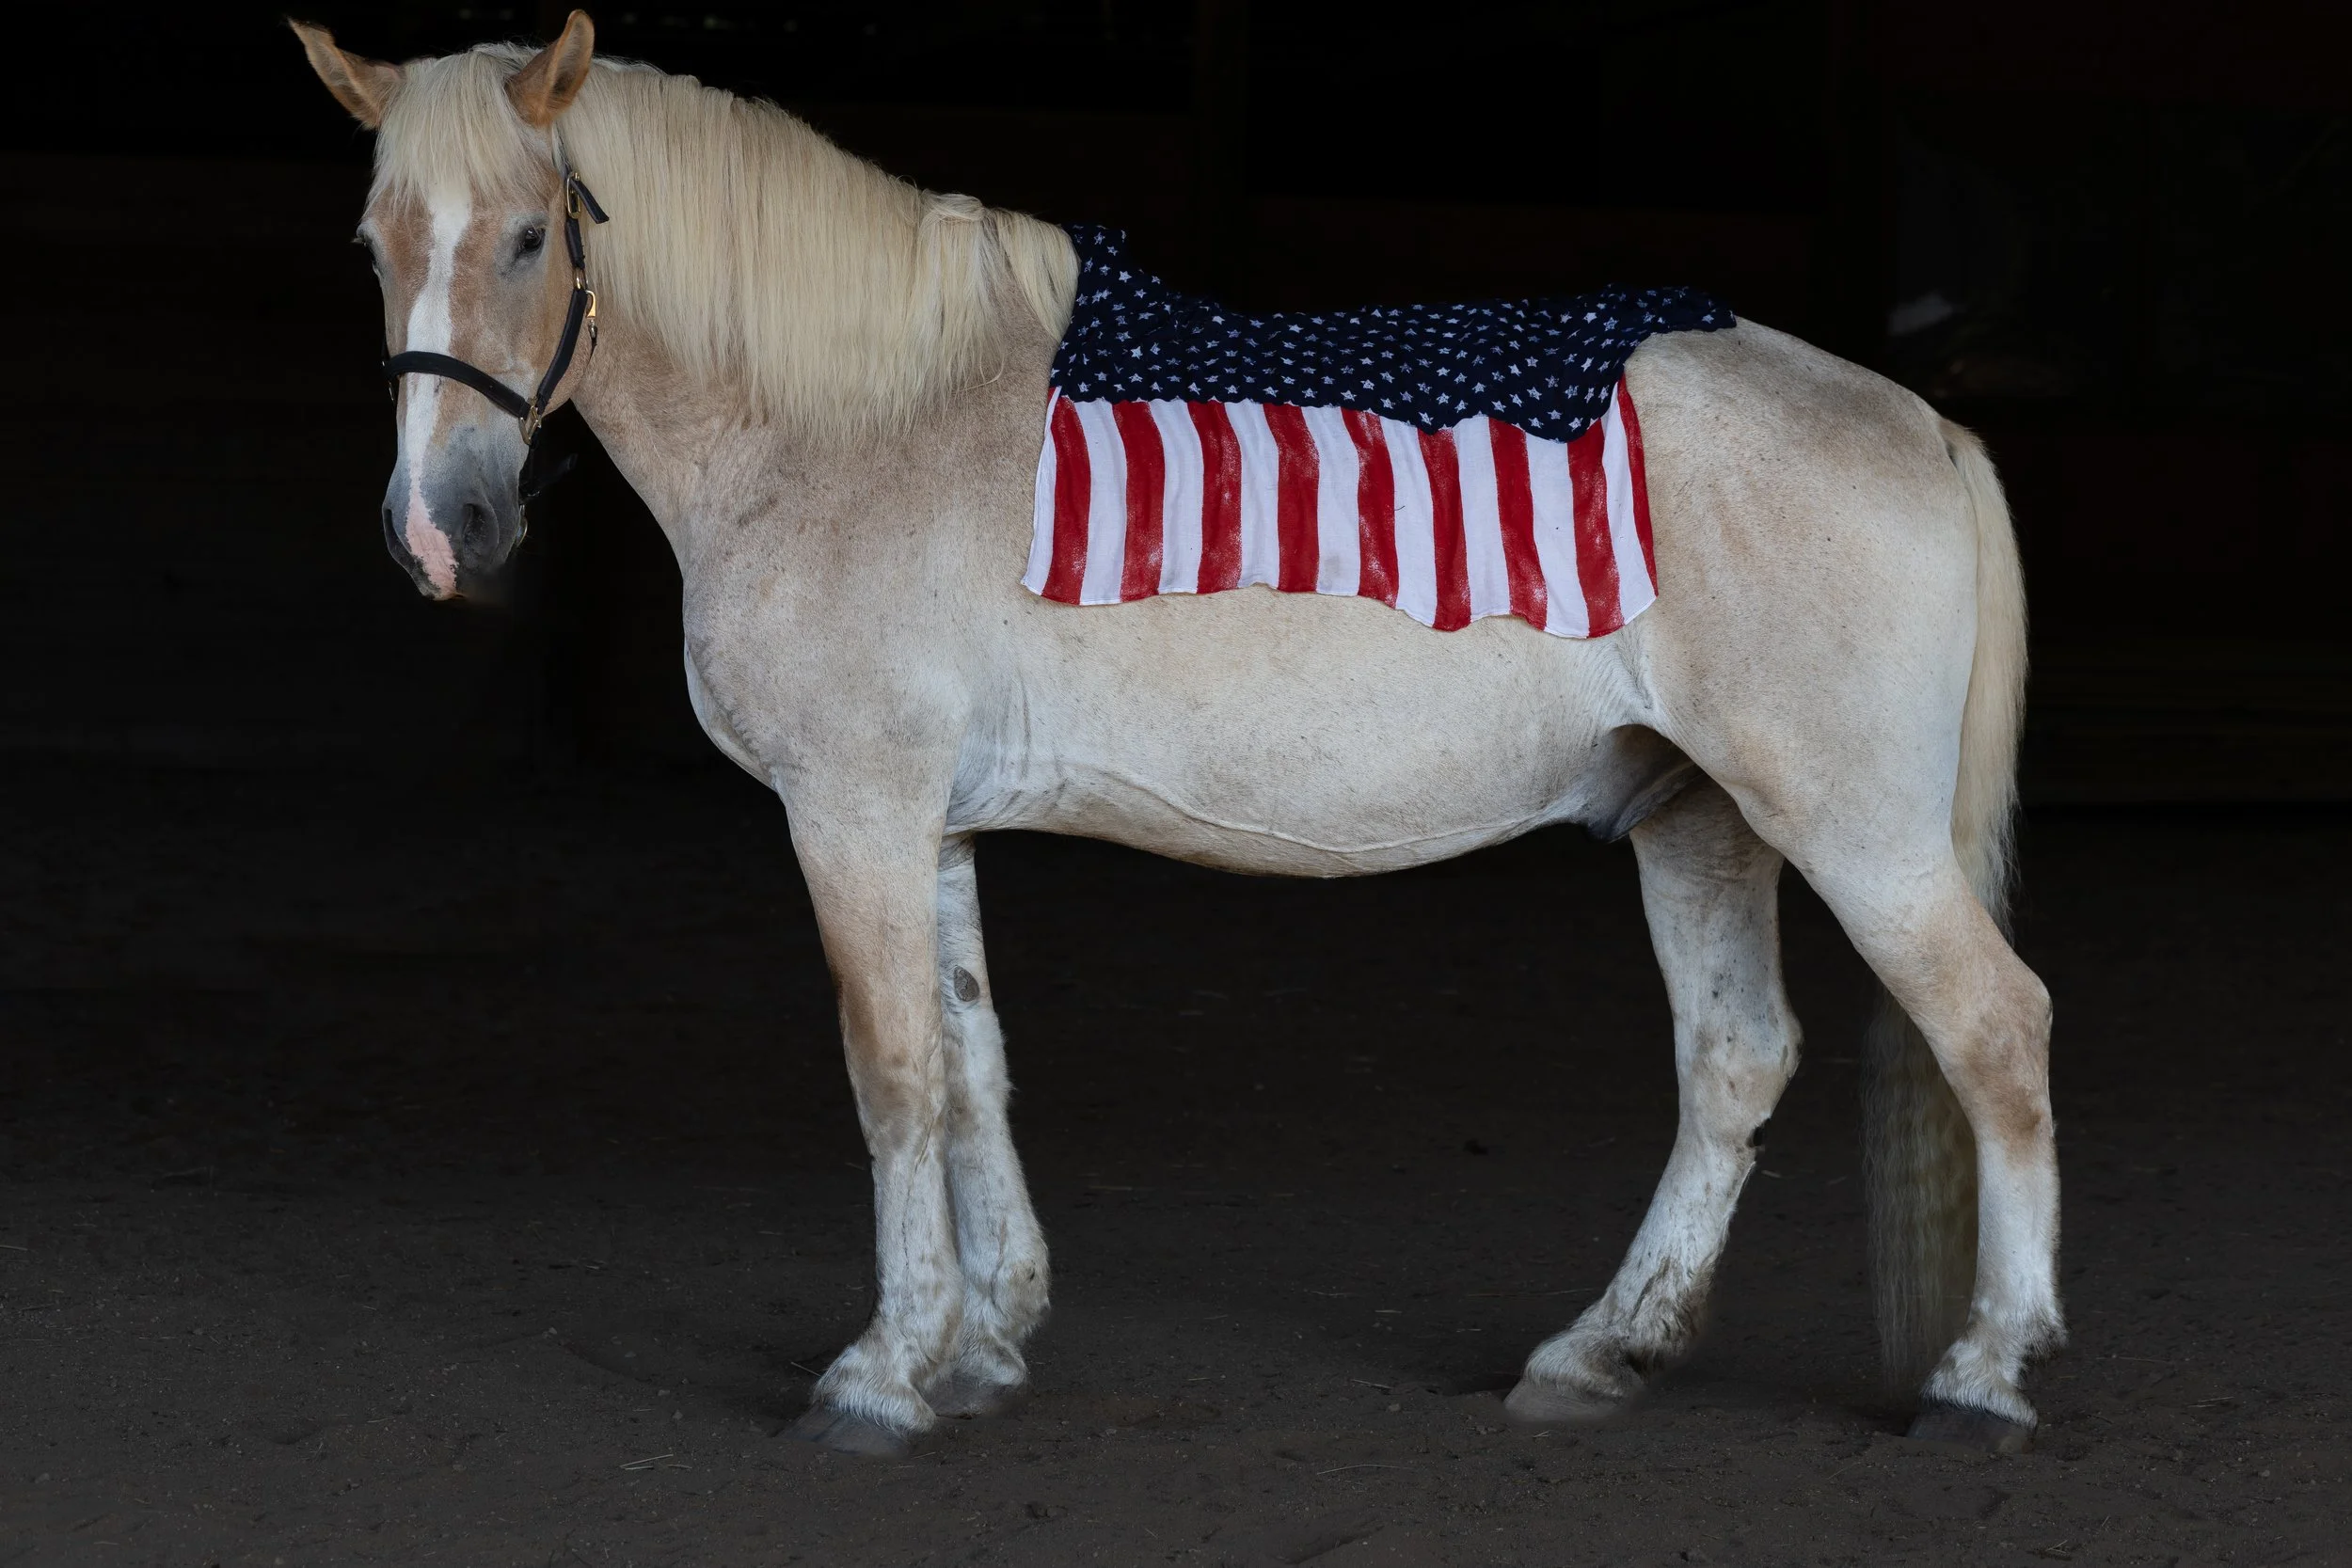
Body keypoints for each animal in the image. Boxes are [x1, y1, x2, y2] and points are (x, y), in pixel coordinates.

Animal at [291, 11, 2062, 1458]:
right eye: (375, 241)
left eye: (531, 235)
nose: (439, 530)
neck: (854, 423)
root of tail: (1918, 417)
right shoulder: (930, 820)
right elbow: (970, 1064)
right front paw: (982, 1340)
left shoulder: (854, 810)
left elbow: (891, 1072)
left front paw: (882, 1371)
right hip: (1702, 815)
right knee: (1734, 1057)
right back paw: (1600, 1352)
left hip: (1855, 832)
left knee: (1996, 1032)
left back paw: (1985, 1374)